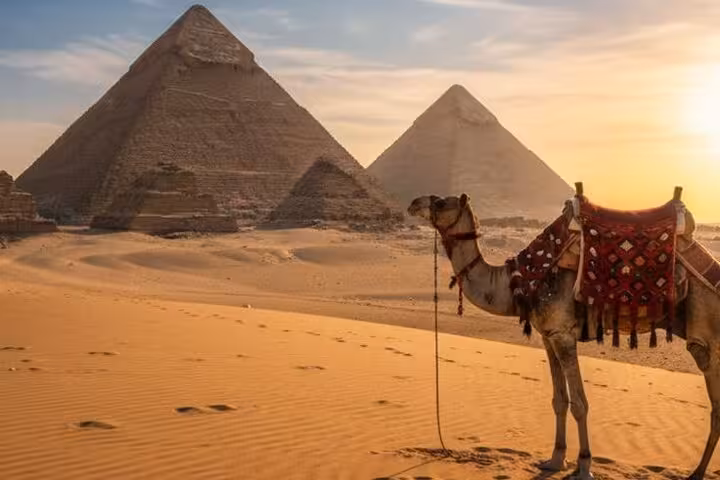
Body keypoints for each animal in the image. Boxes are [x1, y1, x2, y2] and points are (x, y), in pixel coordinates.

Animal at [408, 193, 720, 480]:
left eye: (440, 203)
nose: (412, 203)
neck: (521, 282)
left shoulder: (564, 334)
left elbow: (580, 404)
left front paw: (584, 465)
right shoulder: (549, 335)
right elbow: (559, 401)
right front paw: (555, 459)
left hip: (709, 339)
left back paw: (697, 473)